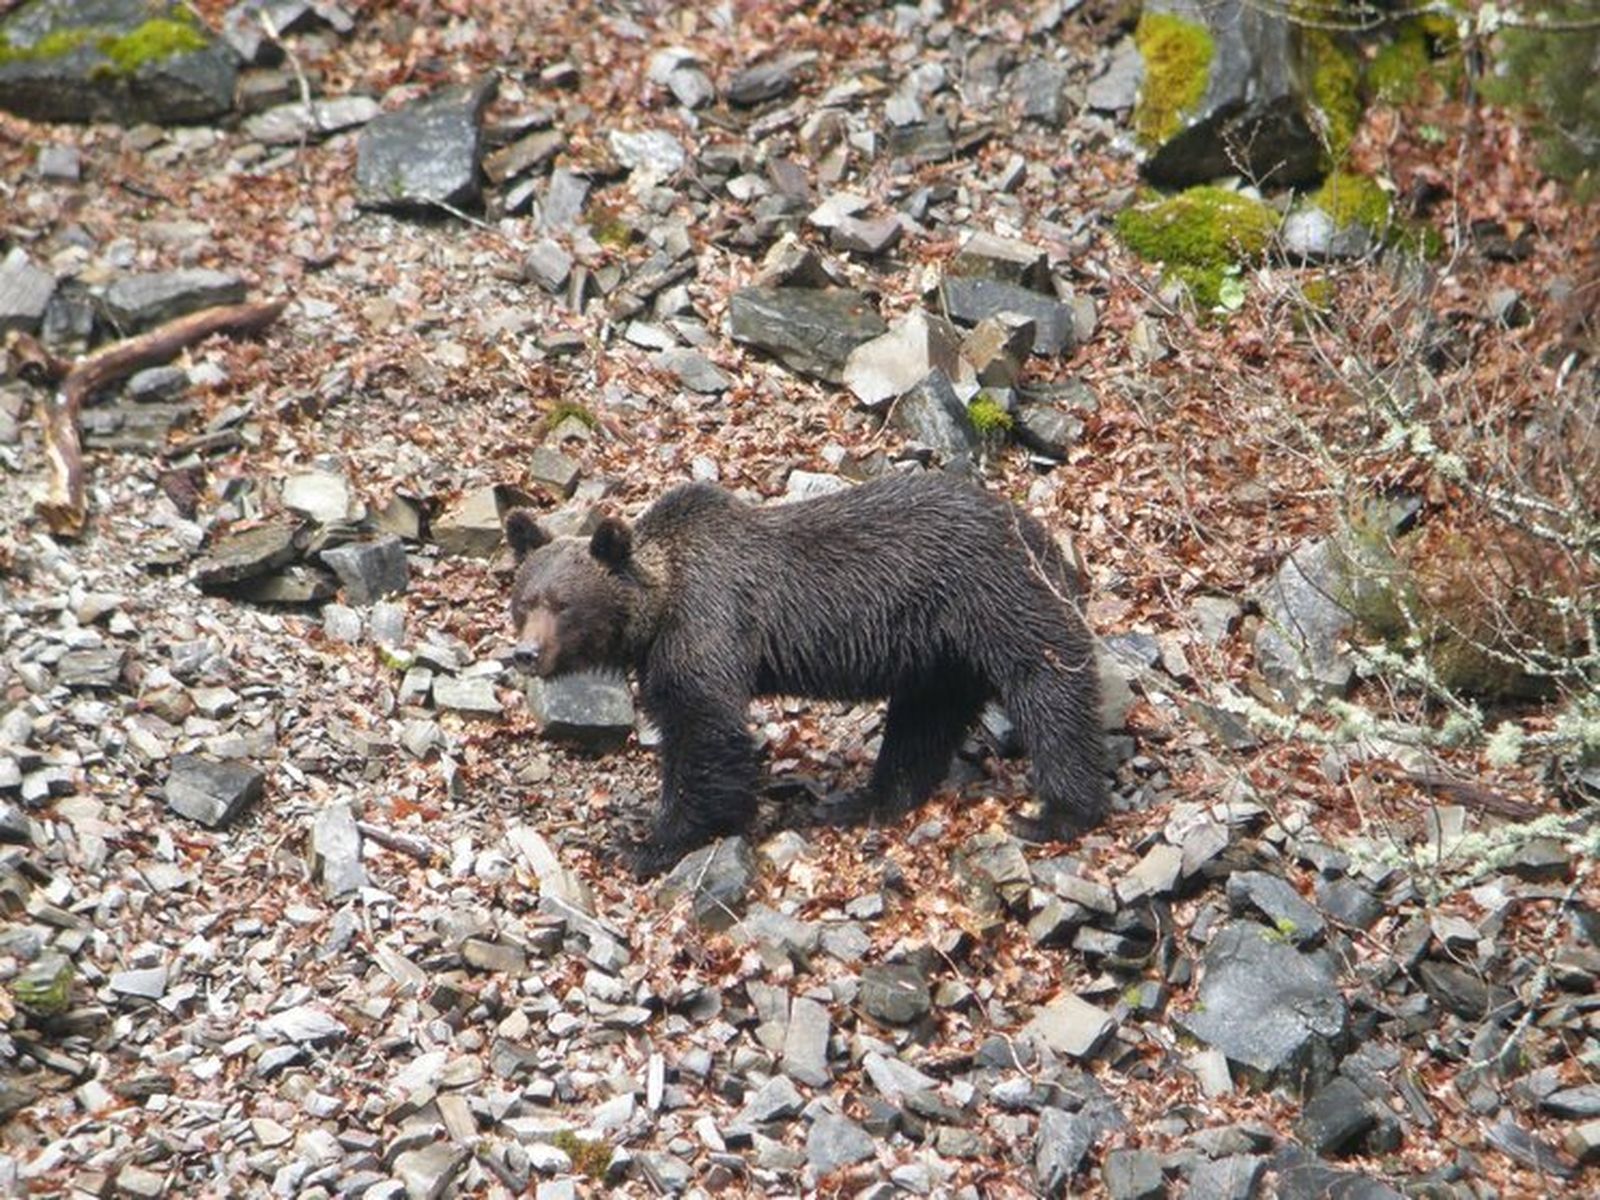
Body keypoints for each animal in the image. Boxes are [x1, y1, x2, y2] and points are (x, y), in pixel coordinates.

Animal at [503, 472, 1107, 876]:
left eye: (563, 605)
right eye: (524, 601)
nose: (526, 654)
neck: (658, 607)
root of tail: (1042, 534)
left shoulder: (706, 625)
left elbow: (706, 733)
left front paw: (647, 844)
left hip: (994, 597)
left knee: (1049, 686)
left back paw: (1059, 812)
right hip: (940, 653)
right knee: (923, 721)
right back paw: (866, 800)